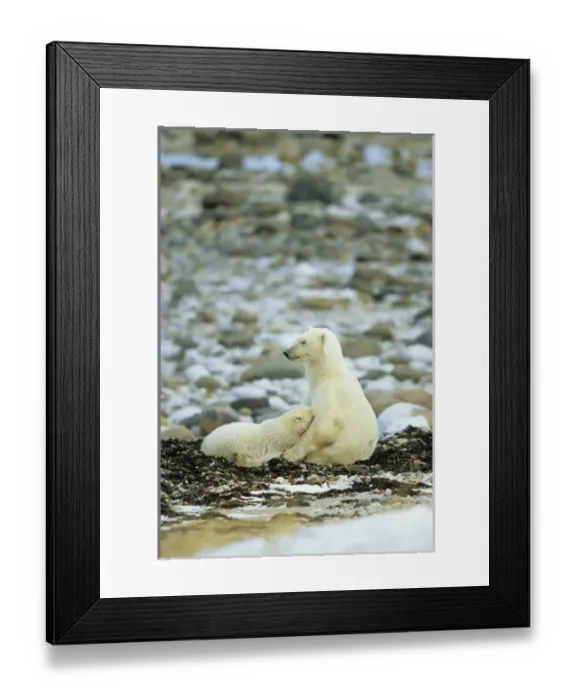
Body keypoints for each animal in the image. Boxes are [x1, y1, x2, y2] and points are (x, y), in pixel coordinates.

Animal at [282, 327, 379, 465]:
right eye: (298, 338)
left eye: (303, 342)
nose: (286, 352)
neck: (327, 375)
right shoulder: (312, 393)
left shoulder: (330, 395)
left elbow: (325, 425)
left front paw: (289, 454)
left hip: (345, 451)